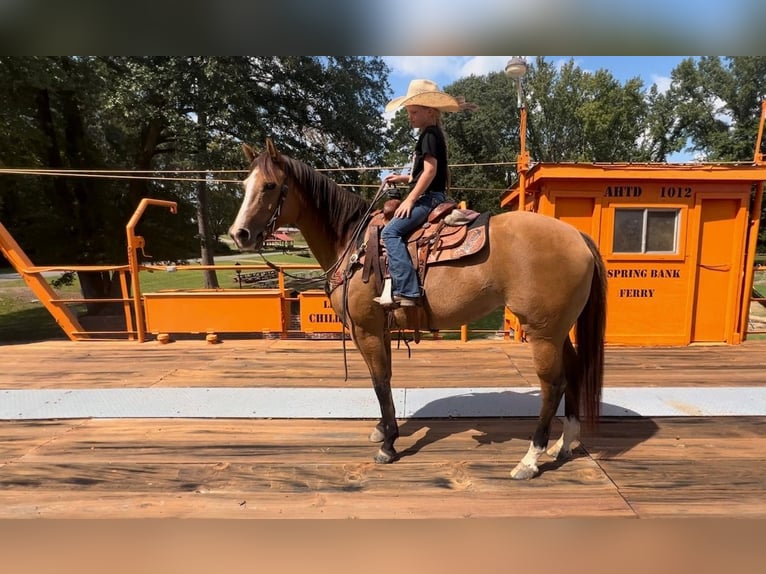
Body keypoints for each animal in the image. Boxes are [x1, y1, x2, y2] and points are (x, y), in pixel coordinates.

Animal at [228, 141, 608, 482]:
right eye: (245, 185)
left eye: (270, 185)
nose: (239, 234)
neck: (353, 244)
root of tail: (577, 236)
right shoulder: (378, 330)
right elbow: (384, 379)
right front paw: (384, 429)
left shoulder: (366, 329)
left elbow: (380, 381)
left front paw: (389, 445)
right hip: (558, 330)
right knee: (574, 372)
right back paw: (563, 445)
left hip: (543, 333)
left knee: (553, 385)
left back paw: (530, 459)